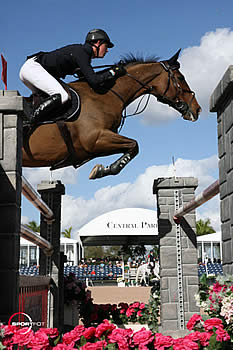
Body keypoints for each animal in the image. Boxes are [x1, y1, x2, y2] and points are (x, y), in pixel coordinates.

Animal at [21, 50, 200, 180]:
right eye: (180, 77)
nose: (197, 109)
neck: (105, 94)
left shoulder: (94, 147)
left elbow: (131, 147)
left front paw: (102, 169)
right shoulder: (95, 139)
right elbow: (134, 145)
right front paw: (102, 171)